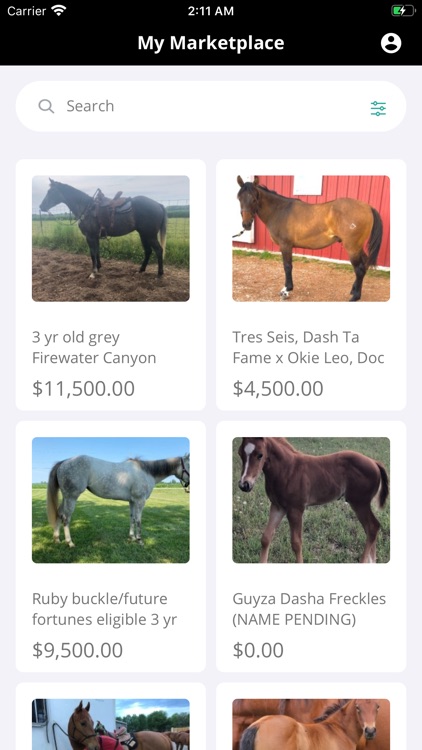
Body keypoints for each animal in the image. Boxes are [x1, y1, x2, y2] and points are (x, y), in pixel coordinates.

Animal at [39, 179, 167, 278]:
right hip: (143, 234)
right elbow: (97, 251)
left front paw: (93, 272)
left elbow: (92, 253)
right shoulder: (95, 236)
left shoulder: (90, 237)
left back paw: (159, 274)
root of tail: (158, 204)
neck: (86, 208)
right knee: (148, 251)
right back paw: (141, 270)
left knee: (158, 250)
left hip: (150, 235)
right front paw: (98, 267)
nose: (41, 206)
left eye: (51, 191)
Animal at [46, 453, 190, 547]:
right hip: (71, 497)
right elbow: (139, 520)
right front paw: (139, 540)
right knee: (66, 518)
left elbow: (132, 518)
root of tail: (64, 462)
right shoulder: (140, 501)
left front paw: (131, 538)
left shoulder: (132, 501)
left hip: (66, 497)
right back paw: (69, 542)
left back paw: (57, 539)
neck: (146, 472)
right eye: (189, 464)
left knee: (59, 514)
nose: (188, 484)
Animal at [236, 176, 383, 301]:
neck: (280, 210)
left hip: (352, 247)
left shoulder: (285, 245)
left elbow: (287, 266)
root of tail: (368, 207)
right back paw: (354, 290)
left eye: (254, 199)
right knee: (363, 266)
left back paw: (355, 297)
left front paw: (286, 290)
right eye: (239, 198)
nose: (246, 224)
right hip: (357, 247)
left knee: (359, 269)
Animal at [237, 437, 389, 563]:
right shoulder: (277, 506)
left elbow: (296, 543)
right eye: (240, 453)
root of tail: (374, 462)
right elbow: (266, 538)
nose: (244, 485)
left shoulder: (296, 509)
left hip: (359, 503)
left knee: (372, 527)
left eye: (260, 454)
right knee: (371, 528)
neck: (287, 470)